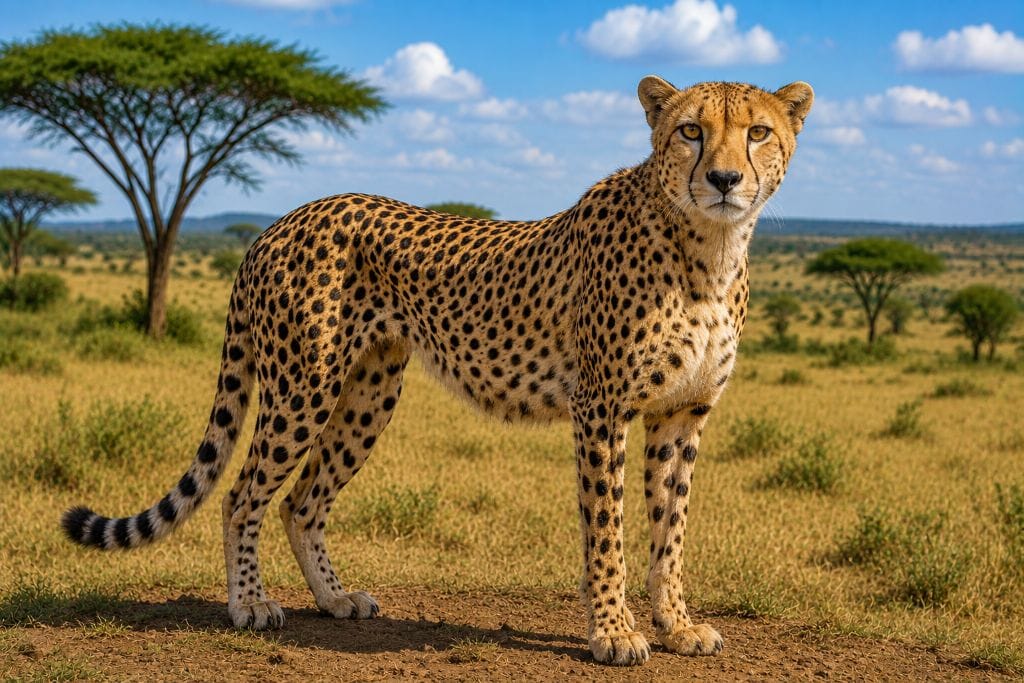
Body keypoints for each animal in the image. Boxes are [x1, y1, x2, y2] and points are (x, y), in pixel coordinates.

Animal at [61, 76, 813, 666]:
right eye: (690, 131)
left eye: (757, 132)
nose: (723, 180)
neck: (708, 249)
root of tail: (280, 220)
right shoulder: (601, 407)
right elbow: (607, 526)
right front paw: (612, 631)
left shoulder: (681, 413)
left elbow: (670, 528)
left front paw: (677, 624)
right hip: (303, 387)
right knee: (244, 492)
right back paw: (249, 604)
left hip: (368, 392)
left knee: (303, 499)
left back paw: (334, 597)